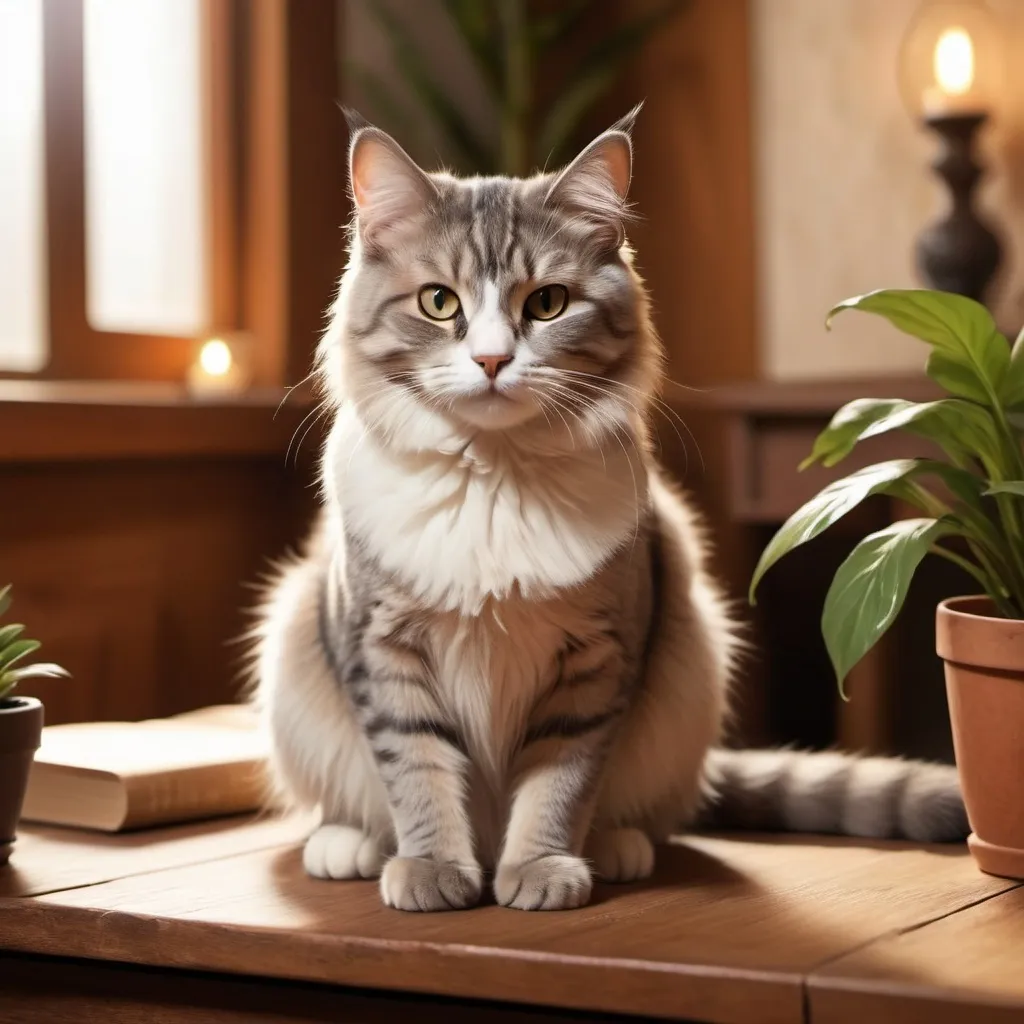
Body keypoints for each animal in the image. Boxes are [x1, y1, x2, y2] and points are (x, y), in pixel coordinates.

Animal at [249, 110, 966, 913]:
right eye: (439, 302)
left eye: (547, 304)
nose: (492, 361)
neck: (496, 481)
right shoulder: (383, 650)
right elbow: (419, 774)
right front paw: (434, 870)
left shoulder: (597, 660)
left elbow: (558, 783)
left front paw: (539, 870)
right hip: (294, 650)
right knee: (355, 804)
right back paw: (351, 846)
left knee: (642, 813)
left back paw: (616, 849)